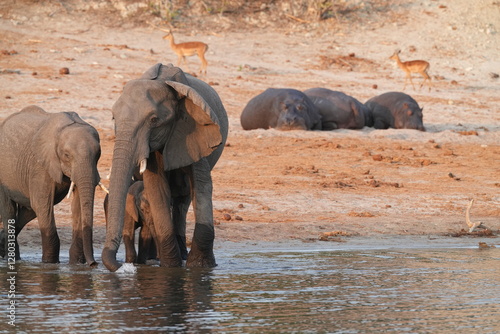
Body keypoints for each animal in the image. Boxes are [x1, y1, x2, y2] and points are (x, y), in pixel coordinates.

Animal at [0, 105, 101, 264]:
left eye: (98, 154)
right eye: (67, 155)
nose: (94, 263)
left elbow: (77, 205)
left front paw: (76, 264)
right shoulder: (40, 165)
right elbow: (43, 204)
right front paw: (50, 263)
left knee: (29, 210)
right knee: (10, 209)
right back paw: (12, 259)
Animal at [103, 62, 229, 272]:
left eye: (154, 120)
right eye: (113, 118)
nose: (121, 266)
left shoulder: (195, 132)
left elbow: (201, 185)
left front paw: (200, 267)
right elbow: (157, 188)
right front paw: (170, 266)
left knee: (182, 199)